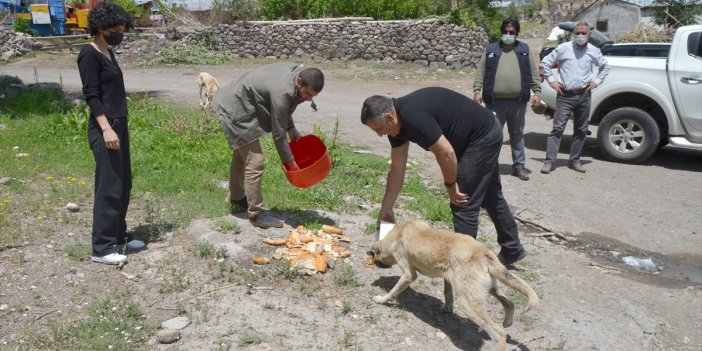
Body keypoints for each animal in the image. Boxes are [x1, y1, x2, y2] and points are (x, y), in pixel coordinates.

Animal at [372, 221, 540, 350]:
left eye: (375, 256)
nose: (376, 265)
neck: (399, 232)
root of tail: (485, 254)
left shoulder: (408, 274)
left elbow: (393, 291)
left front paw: (382, 299)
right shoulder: (448, 277)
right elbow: (448, 294)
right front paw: (447, 309)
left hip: (468, 303)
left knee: (500, 334)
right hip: (486, 289)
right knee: (509, 304)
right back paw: (507, 321)